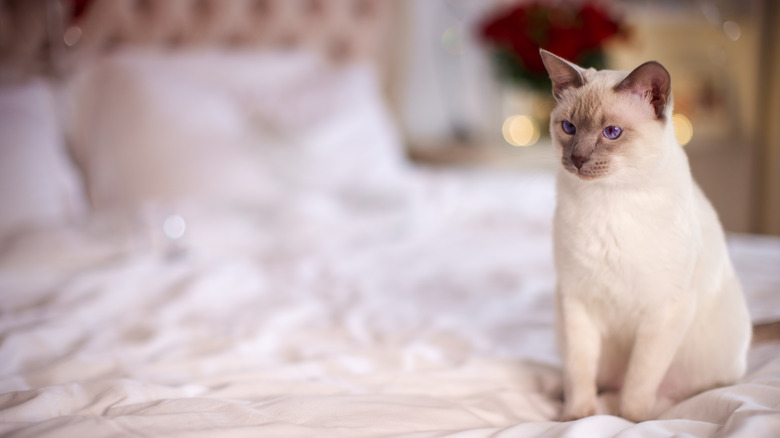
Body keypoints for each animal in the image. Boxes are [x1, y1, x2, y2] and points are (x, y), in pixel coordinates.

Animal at [540, 49, 752, 422]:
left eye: (611, 132)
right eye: (568, 128)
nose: (576, 159)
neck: (608, 200)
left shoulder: (663, 312)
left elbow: (638, 382)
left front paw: (629, 422)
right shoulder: (577, 301)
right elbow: (580, 374)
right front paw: (577, 418)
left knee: (687, 389)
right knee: (589, 378)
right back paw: (558, 395)